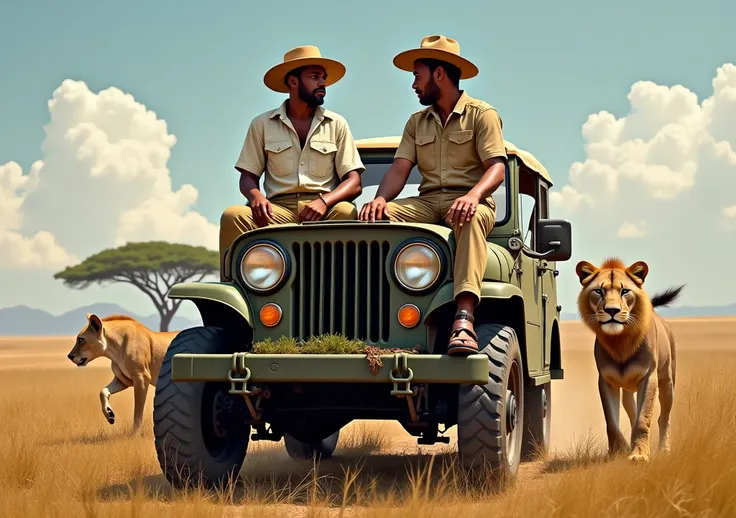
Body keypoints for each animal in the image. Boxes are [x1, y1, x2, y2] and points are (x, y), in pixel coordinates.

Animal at [576, 258, 684, 466]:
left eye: (624, 291)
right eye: (598, 291)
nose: (612, 310)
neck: (620, 342)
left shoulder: (648, 377)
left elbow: (643, 420)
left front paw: (639, 455)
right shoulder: (606, 381)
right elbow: (611, 422)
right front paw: (618, 451)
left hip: (667, 382)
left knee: (664, 418)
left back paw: (664, 450)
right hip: (627, 391)